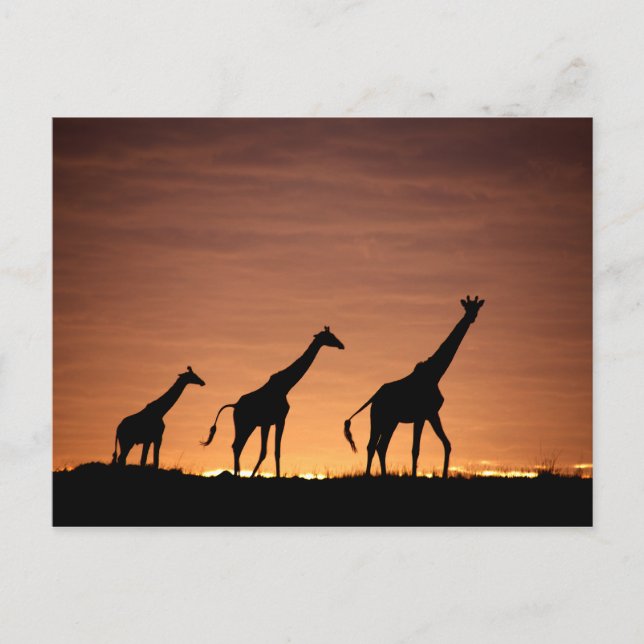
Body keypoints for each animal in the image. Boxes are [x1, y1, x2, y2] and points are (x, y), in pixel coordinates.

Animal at [201, 327, 345, 478]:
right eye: (330, 336)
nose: (341, 345)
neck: (285, 387)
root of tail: (235, 405)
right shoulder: (280, 420)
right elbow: (275, 452)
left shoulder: (268, 423)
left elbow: (265, 452)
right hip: (244, 425)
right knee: (237, 445)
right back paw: (237, 475)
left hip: (247, 425)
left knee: (237, 446)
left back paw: (238, 474)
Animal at [343, 296, 485, 478]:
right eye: (467, 307)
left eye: (476, 308)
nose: (472, 317)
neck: (435, 374)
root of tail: (374, 397)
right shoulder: (420, 415)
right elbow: (415, 449)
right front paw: (414, 475)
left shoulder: (432, 414)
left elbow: (447, 444)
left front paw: (444, 475)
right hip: (379, 418)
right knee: (372, 445)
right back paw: (369, 475)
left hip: (391, 421)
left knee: (381, 446)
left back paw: (383, 475)